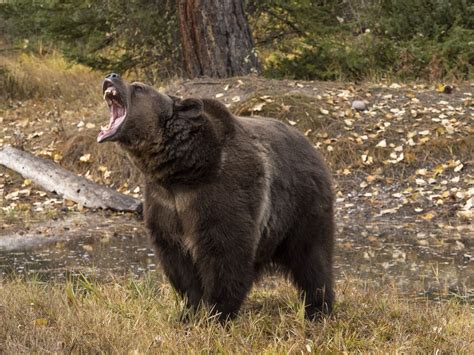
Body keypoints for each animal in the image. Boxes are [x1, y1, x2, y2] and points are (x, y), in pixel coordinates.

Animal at [97, 73, 334, 322]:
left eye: (138, 87)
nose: (112, 76)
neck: (182, 171)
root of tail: (311, 144)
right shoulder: (165, 203)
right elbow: (178, 262)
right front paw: (189, 312)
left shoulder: (221, 194)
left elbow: (225, 254)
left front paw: (217, 313)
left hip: (303, 205)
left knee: (312, 258)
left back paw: (318, 309)